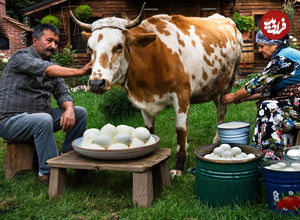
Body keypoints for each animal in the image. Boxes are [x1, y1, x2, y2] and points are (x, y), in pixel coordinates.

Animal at [70, 2, 244, 176]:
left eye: (119, 46)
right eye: (89, 48)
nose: (96, 83)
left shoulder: (181, 96)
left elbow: (181, 129)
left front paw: (179, 166)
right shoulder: (144, 103)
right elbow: (149, 130)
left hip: (227, 86)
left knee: (221, 113)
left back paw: (217, 140)